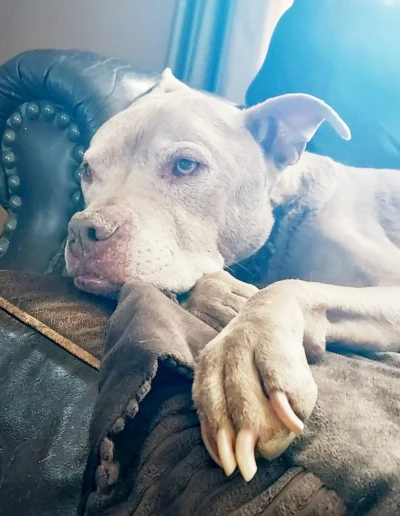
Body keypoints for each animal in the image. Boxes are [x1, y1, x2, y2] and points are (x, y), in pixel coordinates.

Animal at [65, 69, 400, 484]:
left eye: (186, 165)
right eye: (86, 171)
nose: (81, 231)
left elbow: (286, 288)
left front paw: (239, 363)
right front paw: (225, 296)